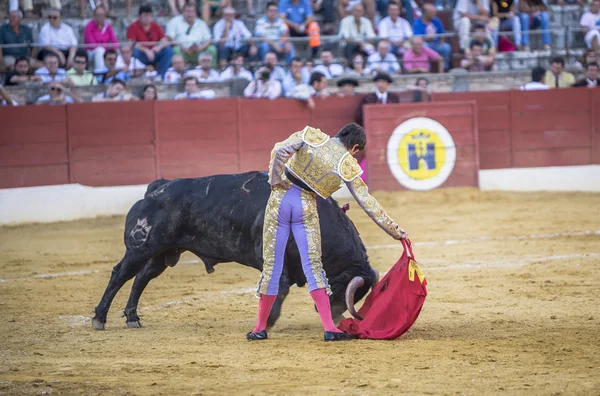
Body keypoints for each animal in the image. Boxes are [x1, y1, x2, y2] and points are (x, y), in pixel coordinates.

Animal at [91, 172, 376, 330]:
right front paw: (268, 321)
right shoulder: (274, 259)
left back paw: (132, 317)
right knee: (120, 274)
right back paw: (100, 318)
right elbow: (279, 287)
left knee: (141, 278)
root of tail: (156, 189)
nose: (336, 317)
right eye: (345, 288)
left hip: (162, 254)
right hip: (141, 248)